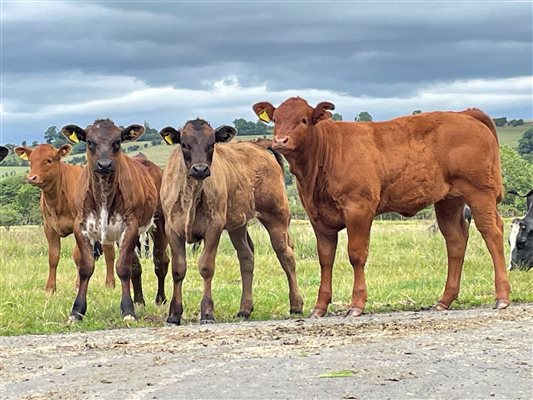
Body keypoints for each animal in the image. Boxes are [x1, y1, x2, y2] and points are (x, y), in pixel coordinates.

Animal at [14, 144, 115, 290]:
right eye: (30, 161)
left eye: (49, 160)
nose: (32, 178)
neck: (56, 200)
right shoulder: (49, 227)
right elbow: (53, 257)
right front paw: (50, 288)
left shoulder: (79, 226)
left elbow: (78, 256)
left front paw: (78, 285)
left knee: (110, 252)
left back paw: (110, 284)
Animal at [60, 120, 169, 320]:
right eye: (90, 142)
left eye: (117, 141)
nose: (104, 164)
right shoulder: (81, 227)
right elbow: (86, 267)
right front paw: (77, 311)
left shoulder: (130, 226)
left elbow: (123, 268)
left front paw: (127, 310)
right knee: (137, 266)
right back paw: (139, 300)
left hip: (159, 224)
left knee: (160, 261)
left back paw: (161, 299)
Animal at [158, 119, 302, 324]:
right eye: (184, 144)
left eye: (212, 144)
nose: (200, 169)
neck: (192, 194)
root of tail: (257, 145)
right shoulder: (172, 229)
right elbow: (178, 270)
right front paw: (174, 314)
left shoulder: (214, 227)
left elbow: (206, 267)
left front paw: (207, 312)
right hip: (238, 225)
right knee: (247, 257)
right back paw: (244, 309)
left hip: (276, 217)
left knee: (286, 256)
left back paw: (296, 305)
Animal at [254, 96, 512, 316]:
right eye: (276, 120)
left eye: (304, 119)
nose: (280, 141)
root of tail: (466, 114)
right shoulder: (317, 217)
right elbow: (325, 259)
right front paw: (320, 307)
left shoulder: (359, 209)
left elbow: (356, 255)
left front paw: (357, 304)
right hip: (448, 201)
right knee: (456, 241)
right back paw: (444, 300)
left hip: (480, 192)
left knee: (492, 232)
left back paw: (502, 297)